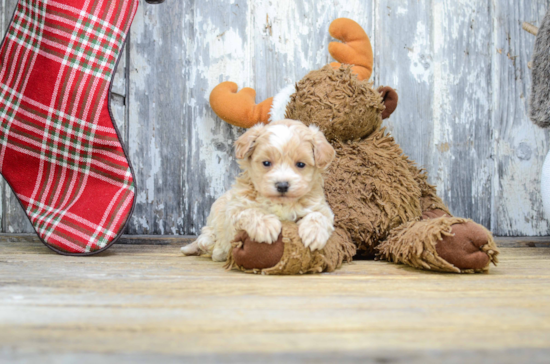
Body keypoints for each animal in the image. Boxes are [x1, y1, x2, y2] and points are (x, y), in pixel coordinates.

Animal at [181, 119, 336, 262]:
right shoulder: (233, 211)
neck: (281, 203)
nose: (282, 185)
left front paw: (314, 234)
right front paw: (266, 226)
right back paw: (211, 246)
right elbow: (250, 211)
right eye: (266, 163)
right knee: (207, 233)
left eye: (301, 164)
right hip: (215, 212)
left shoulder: (321, 207)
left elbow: (318, 215)